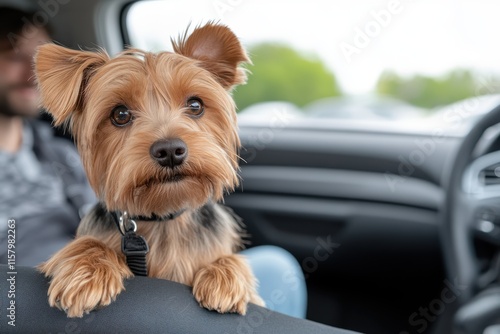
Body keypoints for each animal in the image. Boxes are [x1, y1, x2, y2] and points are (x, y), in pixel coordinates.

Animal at [34, 24, 266, 318]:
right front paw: (86, 270)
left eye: (195, 105)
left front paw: (225, 275)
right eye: (120, 114)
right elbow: (91, 244)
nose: (170, 150)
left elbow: (229, 261)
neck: (163, 217)